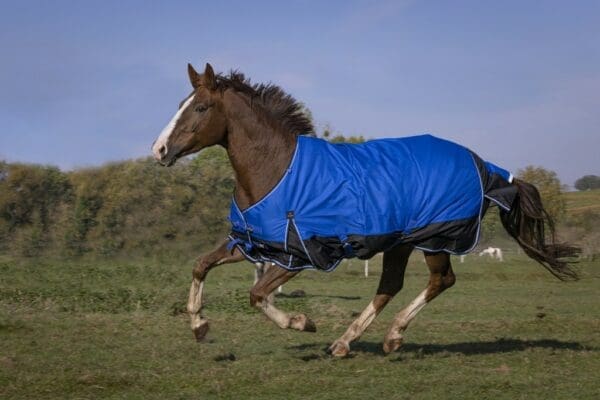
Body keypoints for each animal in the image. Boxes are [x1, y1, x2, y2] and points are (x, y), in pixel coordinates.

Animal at [152, 64, 580, 358]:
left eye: (201, 107)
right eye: (180, 105)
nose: (159, 150)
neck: (276, 169)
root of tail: (485, 166)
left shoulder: (301, 253)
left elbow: (257, 294)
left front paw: (302, 322)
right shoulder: (254, 242)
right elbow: (201, 266)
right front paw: (200, 326)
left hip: (435, 238)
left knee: (440, 281)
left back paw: (388, 337)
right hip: (400, 242)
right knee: (390, 285)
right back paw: (347, 342)